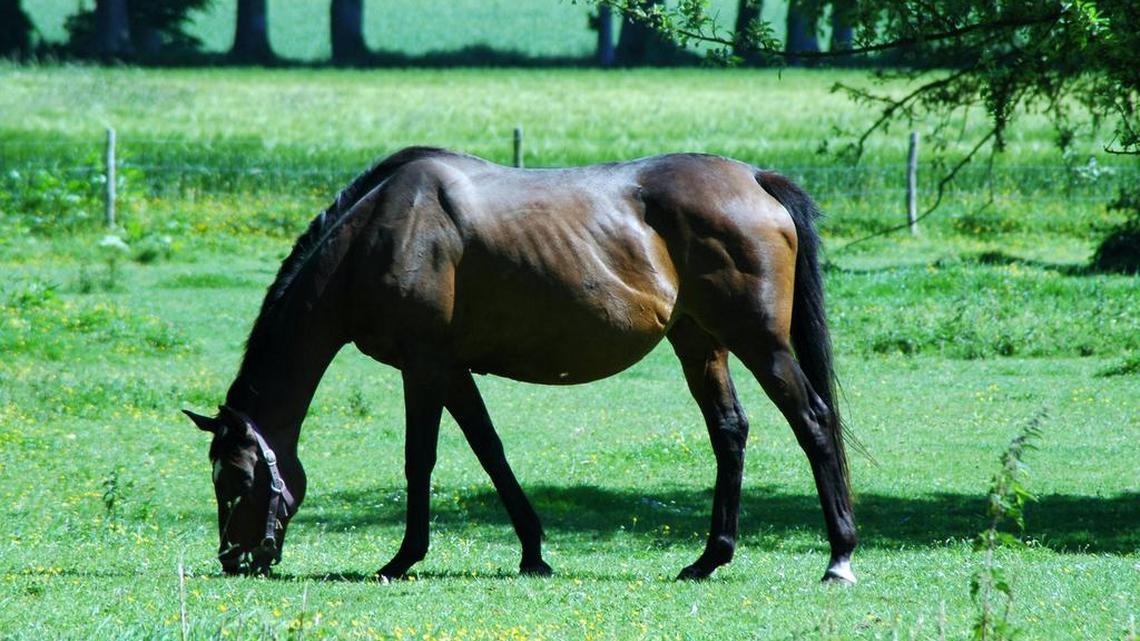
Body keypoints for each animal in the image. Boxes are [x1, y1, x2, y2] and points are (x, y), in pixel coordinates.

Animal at [182, 146, 858, 584]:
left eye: (234, 480)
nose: (234, 560)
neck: (380, 235)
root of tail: (756, 178)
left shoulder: (423, 368)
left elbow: (420, 460)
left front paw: (403, 558)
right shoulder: (452, 371)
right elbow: (490, 450)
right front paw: (533, 551)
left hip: (759, 342)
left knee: (813, 421)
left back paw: (839, 558)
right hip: (699, 343)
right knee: (729, 432)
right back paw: (708, 559)